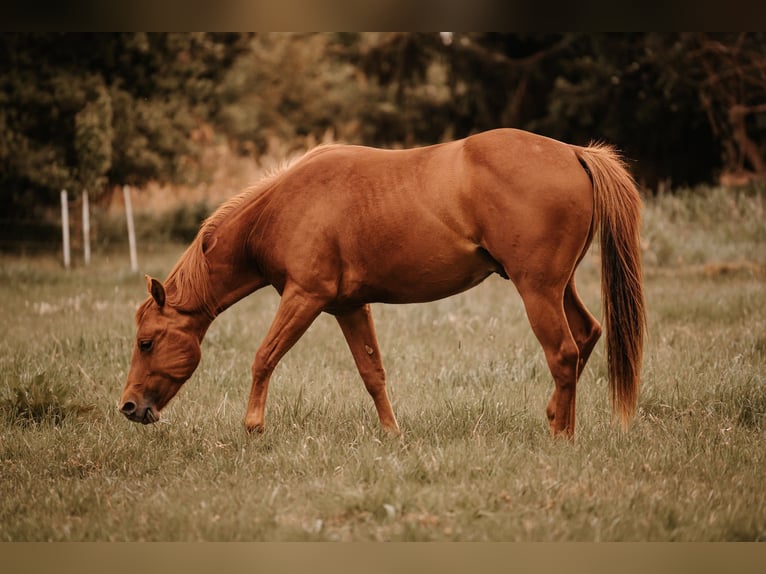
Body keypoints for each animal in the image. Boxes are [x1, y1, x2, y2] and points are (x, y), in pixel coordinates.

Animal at [119, 128, 645, 439]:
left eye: (146, 342)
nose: (128, 406)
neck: (283, 206)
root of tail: (574, 153)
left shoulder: (304, 297)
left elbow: (263, 357)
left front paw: (253, 427)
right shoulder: (349, 307)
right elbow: (372, 372)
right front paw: (392, 434)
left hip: (537, 291)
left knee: (563, 353)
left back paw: (560, 437)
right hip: (558, 288)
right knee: (586, 336)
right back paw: (559, 421)